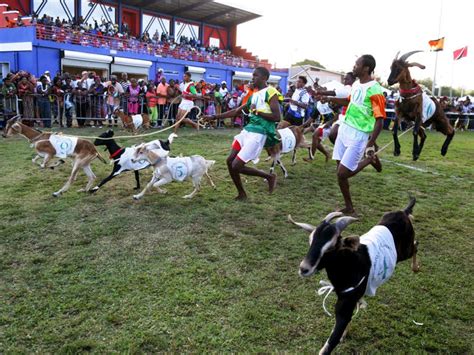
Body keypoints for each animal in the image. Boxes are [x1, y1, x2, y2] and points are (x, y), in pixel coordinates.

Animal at [288, 199, 418, 354]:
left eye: (332, 247)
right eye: (310, 240)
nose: (304, 268)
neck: (352, 264)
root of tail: (403, 212)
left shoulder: (345, 307)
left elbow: (329, 344)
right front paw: (345, 334)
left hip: (405, 252)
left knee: (416, 246)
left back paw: (415, 268)